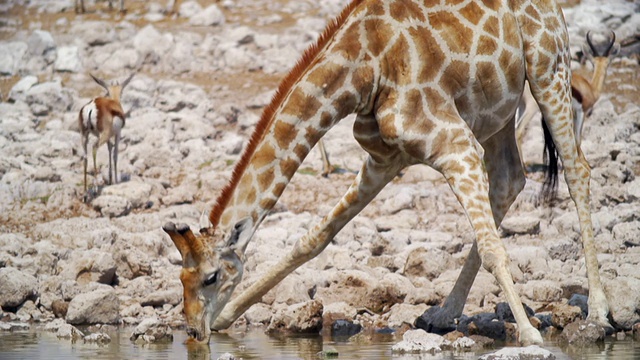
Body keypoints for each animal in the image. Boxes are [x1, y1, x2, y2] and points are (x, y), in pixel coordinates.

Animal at [516, 31, 616, 163]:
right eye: (594, 63)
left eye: (606, 63)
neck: (591, 88)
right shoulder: (582, 111)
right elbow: (578, 139)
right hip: (531, 108)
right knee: (518, 131)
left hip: (521, 107)